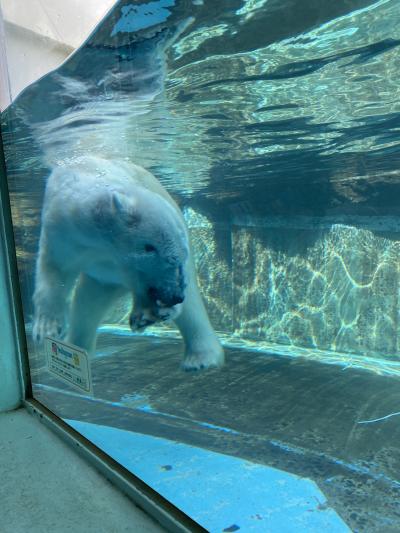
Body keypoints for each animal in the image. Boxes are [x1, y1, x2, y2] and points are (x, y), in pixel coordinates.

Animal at [32, 156, 223, 368]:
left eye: (178, 261)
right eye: (151, 248)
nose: (175, 296)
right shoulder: (64, 229)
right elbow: (55, 270)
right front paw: (46, 328)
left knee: (191, 306)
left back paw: (197, 357)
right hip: (104, 281)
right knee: (87, 304)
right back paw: (79, 346)